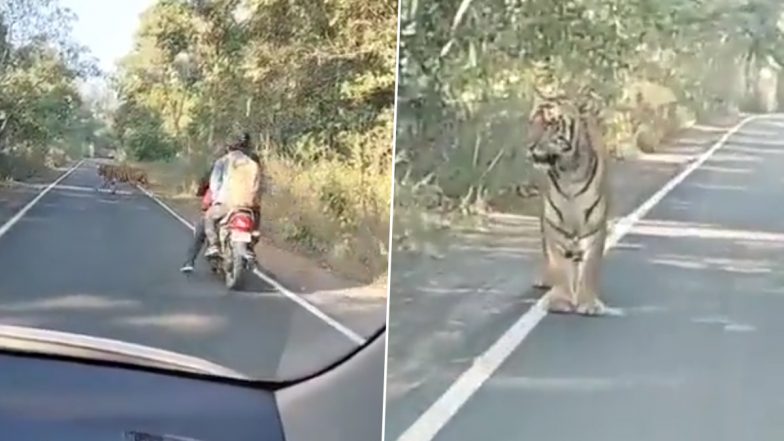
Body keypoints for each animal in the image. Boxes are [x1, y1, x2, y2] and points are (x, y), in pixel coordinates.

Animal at [528, 88, 612, 316]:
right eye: (531, 122)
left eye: (549, 124)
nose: (529, 146)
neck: (568, 172)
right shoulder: (554, 223)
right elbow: (558, 262)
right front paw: (561, 300)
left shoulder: (595, 225)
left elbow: (590, 267)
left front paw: (588, 303)